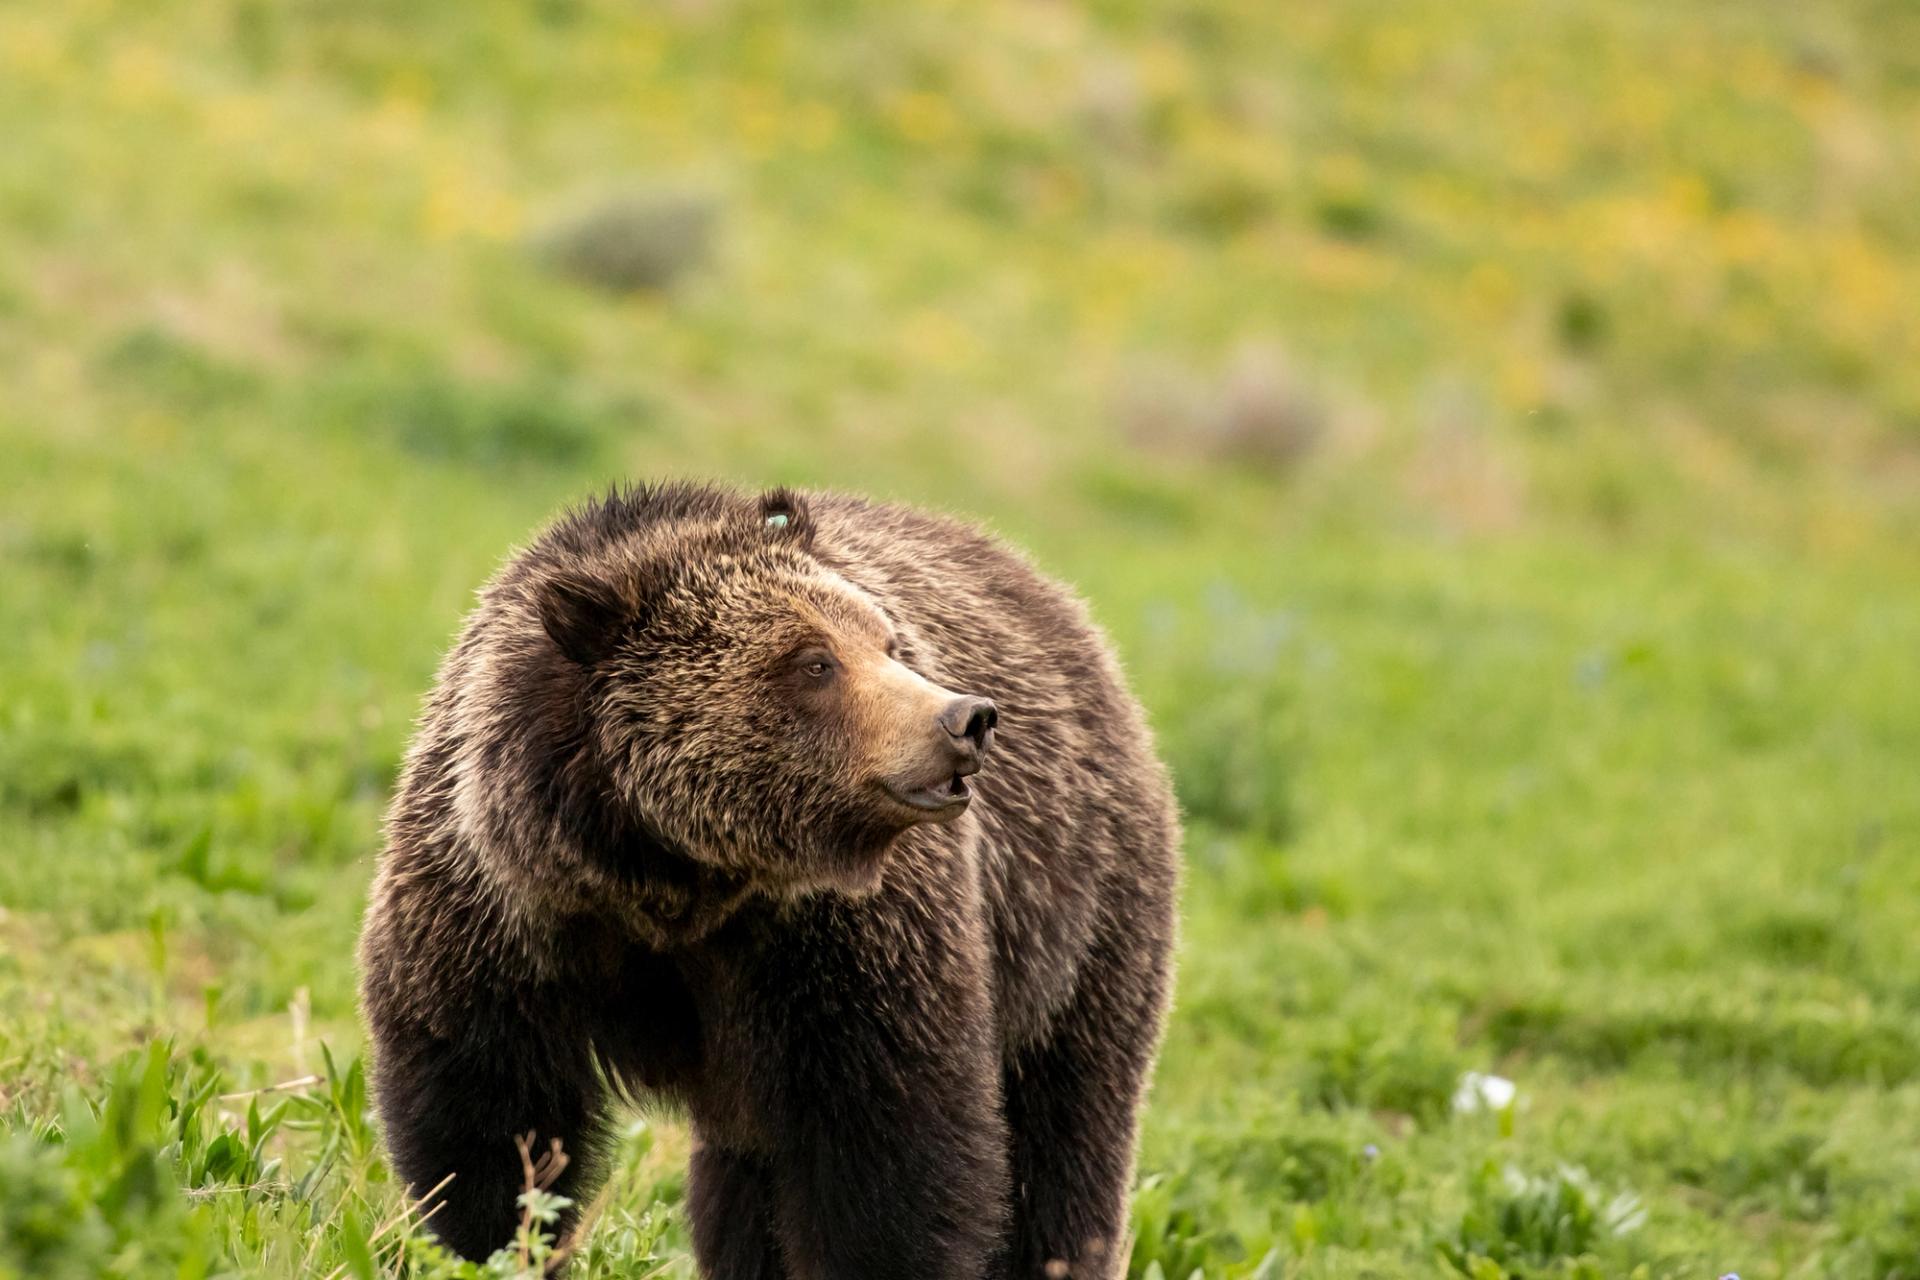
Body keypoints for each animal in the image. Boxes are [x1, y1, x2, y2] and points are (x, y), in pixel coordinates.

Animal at [353, 483, 1175, 1280]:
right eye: (813, 661)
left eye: (887, 642)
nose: (966, 717)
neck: (673, 876)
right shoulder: (500, 911)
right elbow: (484, 1120)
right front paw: (494, 1246)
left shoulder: (841, 941)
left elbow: (889, 1144)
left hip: (1076, 921)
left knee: (1064, 1133)